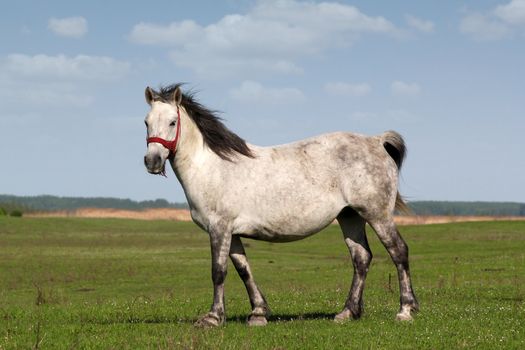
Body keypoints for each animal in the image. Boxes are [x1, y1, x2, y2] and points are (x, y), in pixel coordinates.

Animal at [142, 83, 418, 326]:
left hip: (377, 214)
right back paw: (347, 312)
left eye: (172, 122)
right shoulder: (232, 232)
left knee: (398, 251)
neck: (212, 167)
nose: (152, 161)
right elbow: (243, 269)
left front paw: (212, 318)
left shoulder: (219, 228)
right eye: (146, 122)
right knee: (361, 258)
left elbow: (219, 271)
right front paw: (258, 313)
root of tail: (376, 141)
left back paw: (405, 311)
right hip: (350, 216)